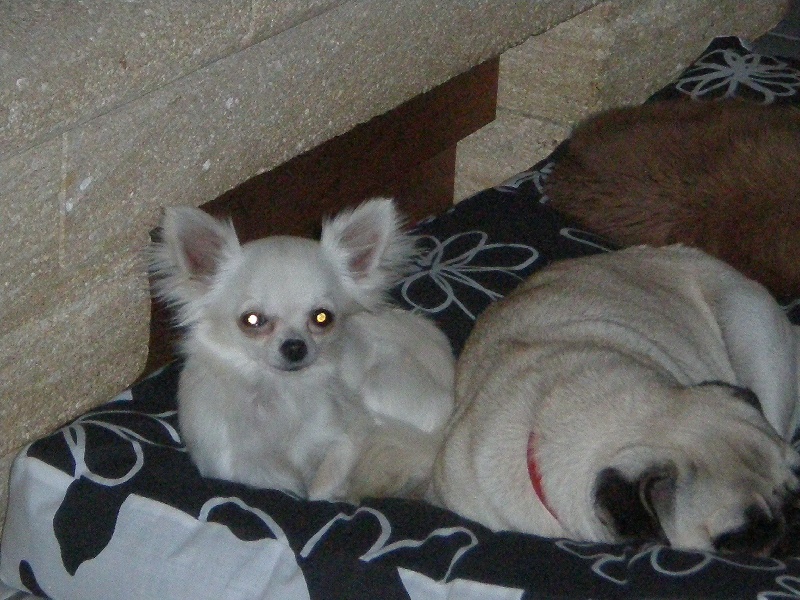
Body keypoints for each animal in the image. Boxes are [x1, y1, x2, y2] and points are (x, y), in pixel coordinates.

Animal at [149, 198, 455, 502]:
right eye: (252, 320)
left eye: (322, 317)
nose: (295, 346)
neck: (279, 391)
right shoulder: (236, 465)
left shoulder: (348, 436)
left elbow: (320, 491)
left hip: (384, 383)